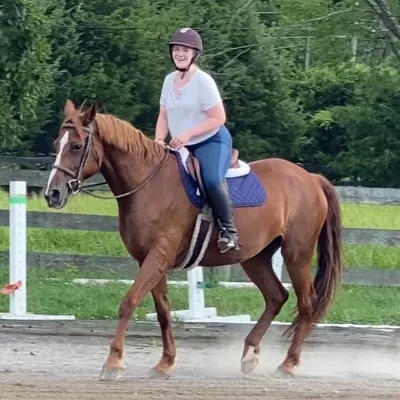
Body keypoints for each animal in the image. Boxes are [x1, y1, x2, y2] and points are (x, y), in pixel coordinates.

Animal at [43, 100, 344, 382]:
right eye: (57, 144)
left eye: (77, 146)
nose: (52, 194)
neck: (148, 185)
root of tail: (310, 178)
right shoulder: (151, 260)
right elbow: (163, 310)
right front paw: (165, 363)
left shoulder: (158, 257)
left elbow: (128, 303)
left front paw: (113, 362)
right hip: (254, 257)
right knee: (276, 296)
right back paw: (249, 355)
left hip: (297, 254)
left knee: (306, 303)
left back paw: (288, 364)